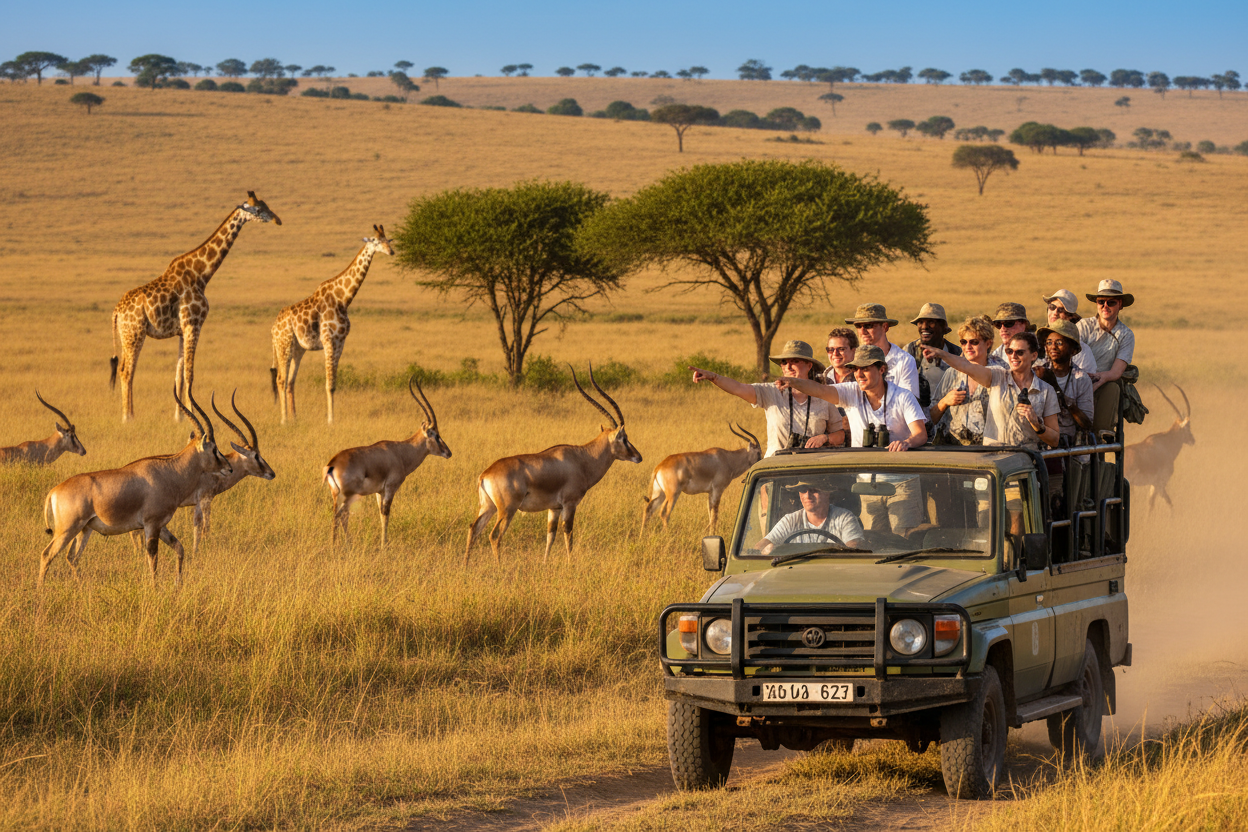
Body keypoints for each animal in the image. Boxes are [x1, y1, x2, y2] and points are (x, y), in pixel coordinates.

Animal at [110, 192, 281, 422]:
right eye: (259, 209)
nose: (277, 219)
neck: (202, 274)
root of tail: (116, 312)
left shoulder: (183, 330)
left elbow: (179, 376)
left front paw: (180, 417)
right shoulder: (194, 324)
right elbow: (190, 373)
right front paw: (194, 414)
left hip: (126, 334)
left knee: (122, 369)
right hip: (135, 333)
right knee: (127, 371)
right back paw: (129, 417)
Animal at [270, 225, 394, 424]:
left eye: (388, 240)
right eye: (375, 241)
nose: (391, 251)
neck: (343, 299)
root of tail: (273, 329)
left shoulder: (340, 342)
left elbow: (334, 384)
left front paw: (331, 419)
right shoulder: (328, 340)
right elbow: (328, 384)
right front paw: (330, 421)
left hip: (298, 349)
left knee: (290, 382)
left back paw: (295, 418)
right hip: (284, 345)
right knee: (281, 380)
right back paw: (284, 420)